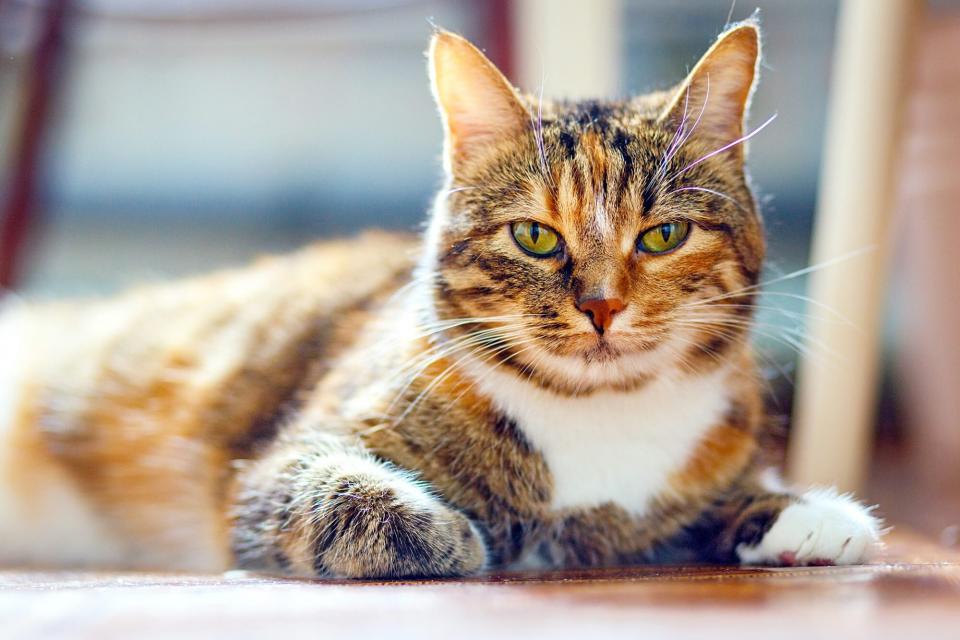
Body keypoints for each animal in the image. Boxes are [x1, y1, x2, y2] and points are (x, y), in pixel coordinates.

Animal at [0, 22, 880, 576]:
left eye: (663, 235)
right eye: (535, 238)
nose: (601, 307)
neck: (597, 419)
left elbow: (715, 503)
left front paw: (805, 512)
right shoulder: (281, 463)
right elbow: (346, 492)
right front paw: (458, 534)